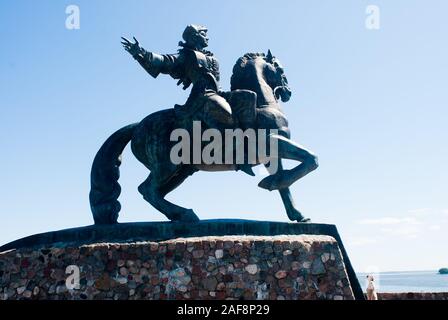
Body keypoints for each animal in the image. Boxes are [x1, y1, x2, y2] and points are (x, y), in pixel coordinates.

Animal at [88, 50, 318, 225]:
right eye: (280, 68)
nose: (288, 92)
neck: (262, 105)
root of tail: (137, 126)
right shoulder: (272, 144)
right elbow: (311, 159)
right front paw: (271, 183)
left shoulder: (273, 155)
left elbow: (286, 185)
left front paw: (296, 213)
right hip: (167, 166)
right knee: (147, 189)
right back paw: (186, 214)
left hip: (180, 171)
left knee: (154, 192)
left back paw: (179, 215)